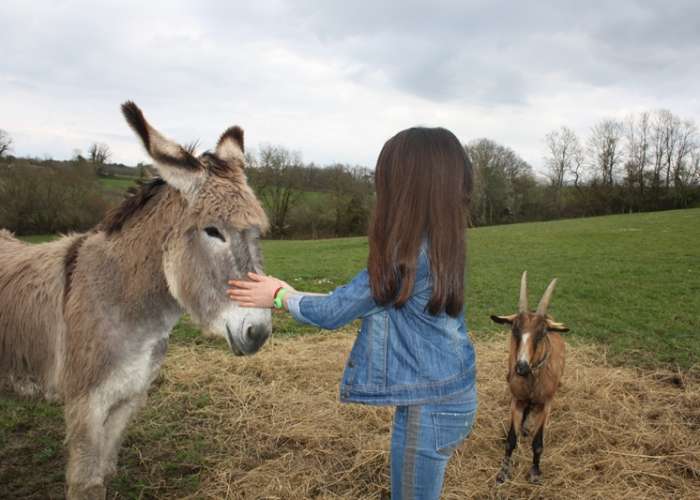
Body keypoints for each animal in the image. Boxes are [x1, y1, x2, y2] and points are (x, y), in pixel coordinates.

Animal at [492, 274, 568, 484]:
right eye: (514, 330)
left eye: (542, 333)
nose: (522, 367)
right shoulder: (517, 400)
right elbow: (511, 440)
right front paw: (503, 472)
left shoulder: (546, 404)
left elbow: (538, 443)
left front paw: (534, 472)